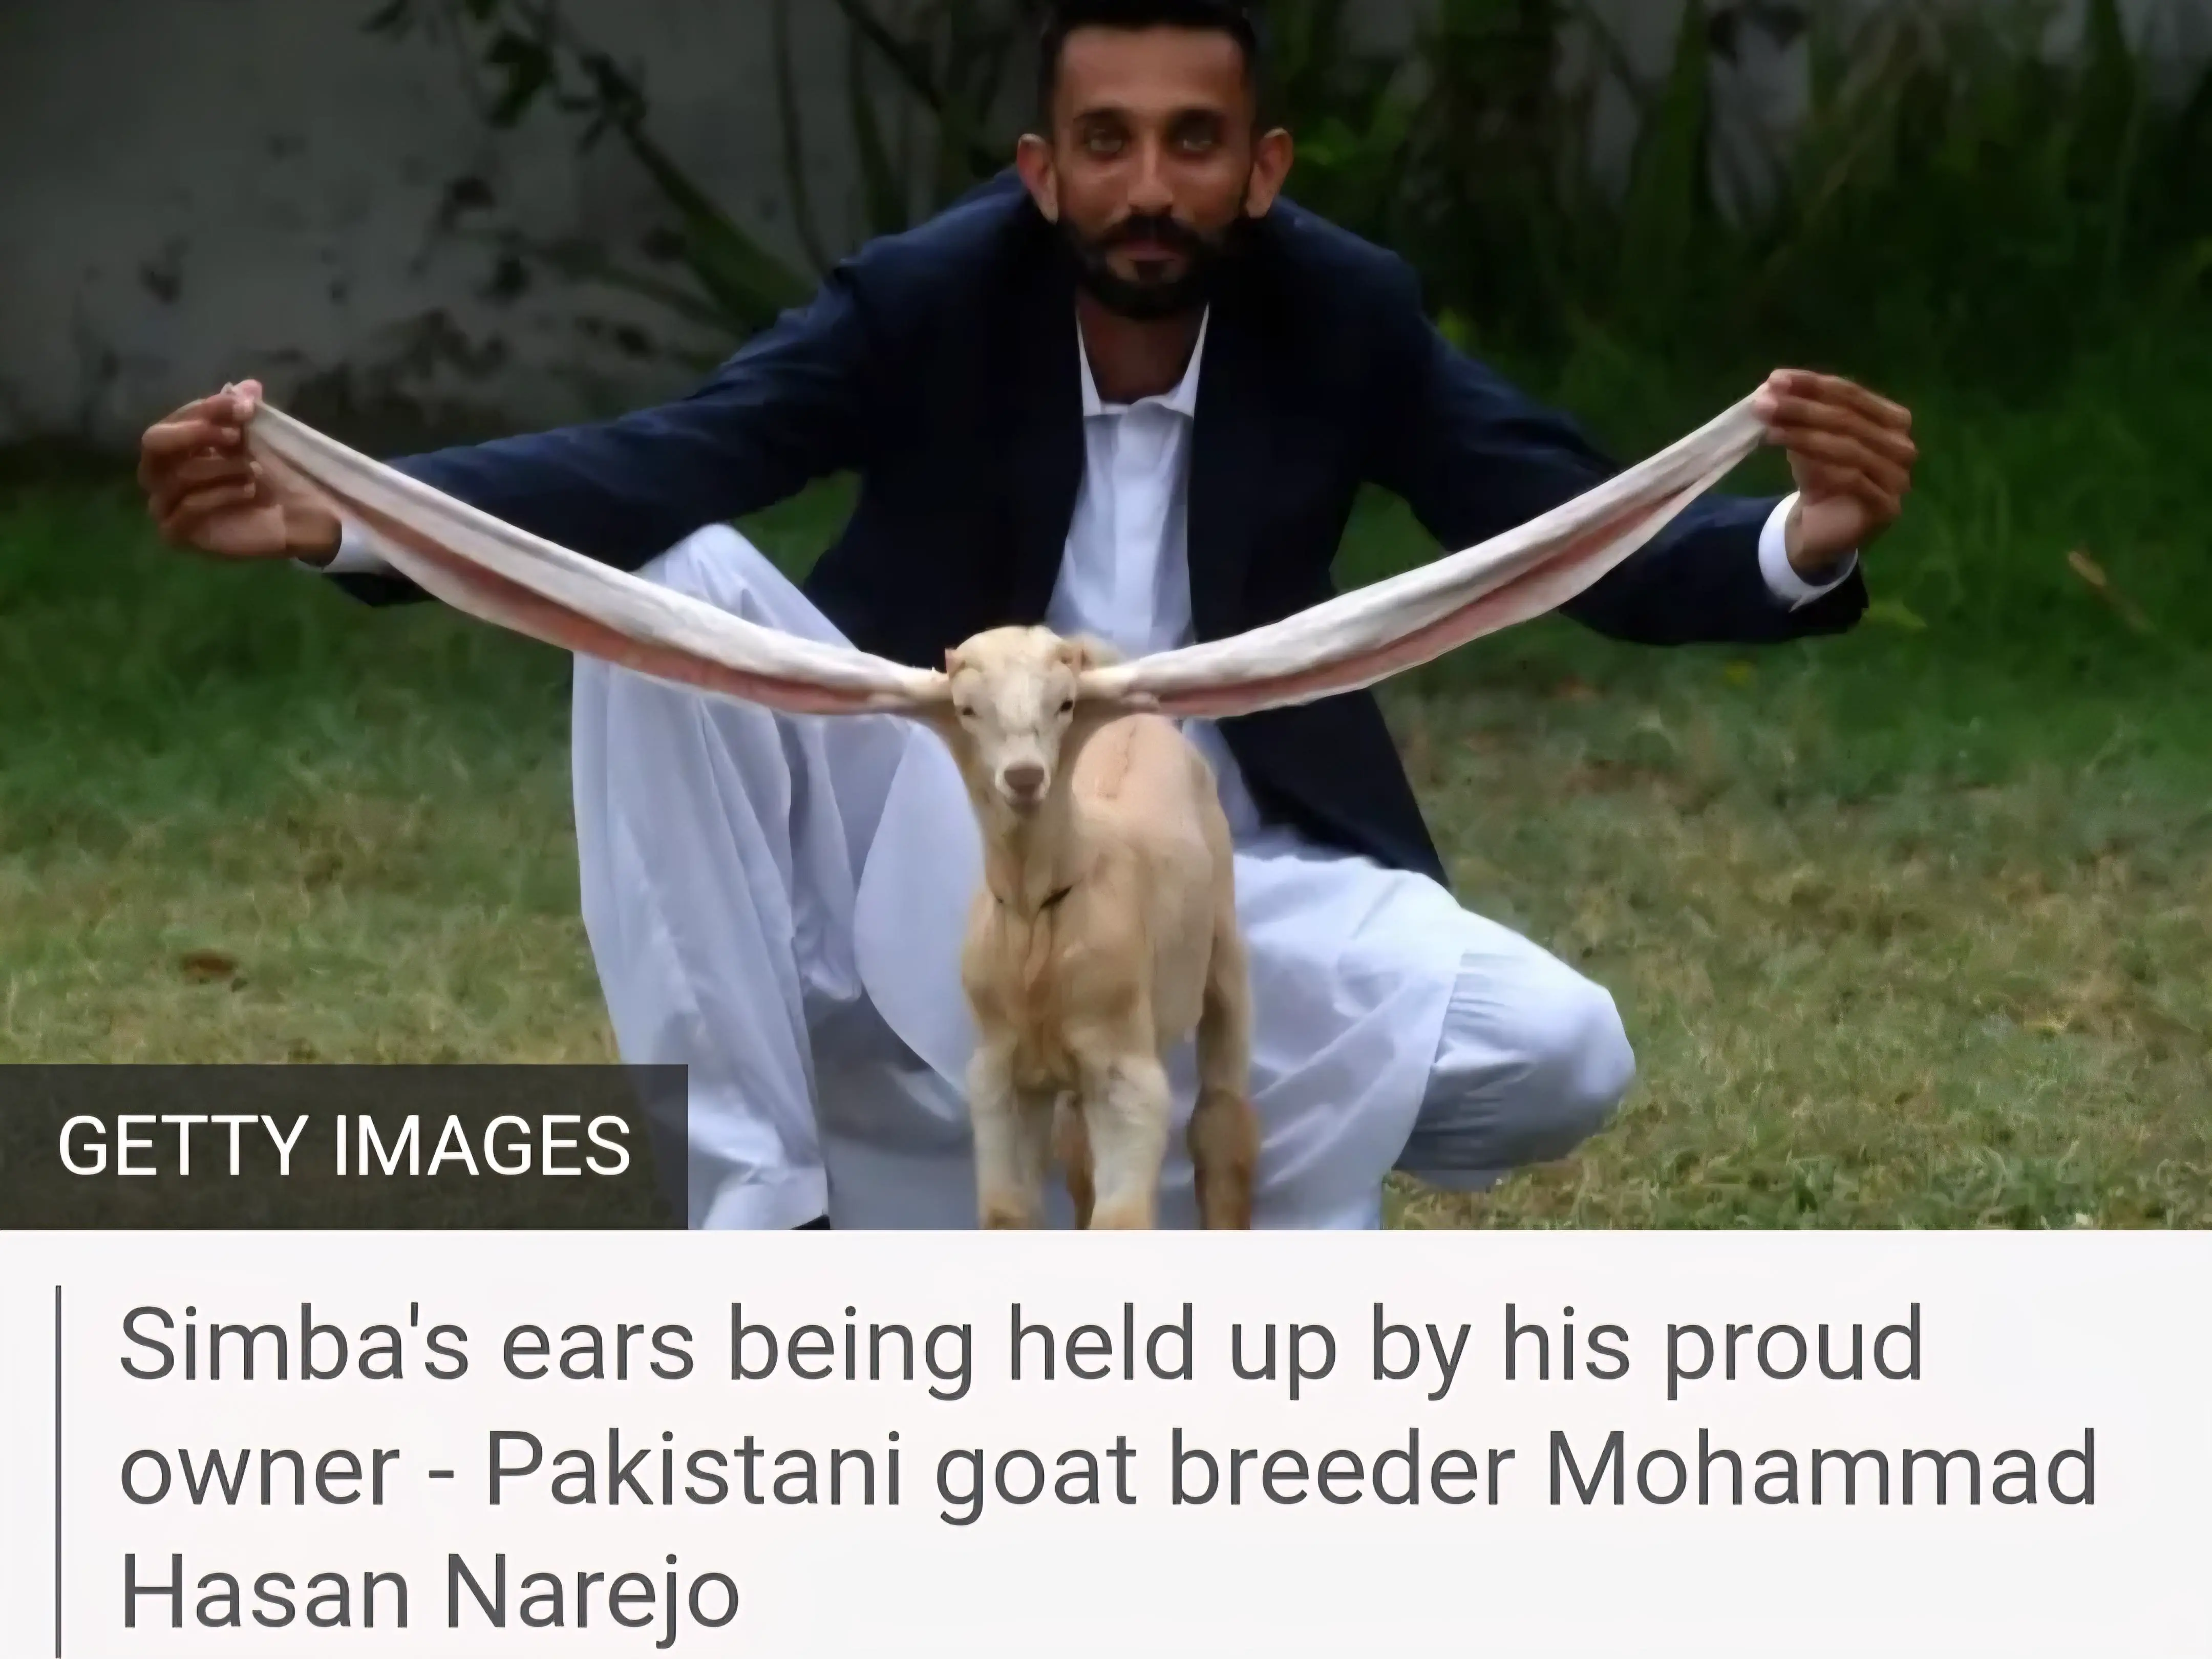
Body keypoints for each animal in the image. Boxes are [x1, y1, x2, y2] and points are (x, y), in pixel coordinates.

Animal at [921, 626, 1258, 1230]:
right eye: (966, 709)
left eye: (1065, 704)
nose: (1024, 778)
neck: (1037, 914)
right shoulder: (1000, 1074)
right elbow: (1007, 1212)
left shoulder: (1127, 1076)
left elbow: (1120, 1219)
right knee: (1079, 1150)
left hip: (1222, 939)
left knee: (1220, 1117)